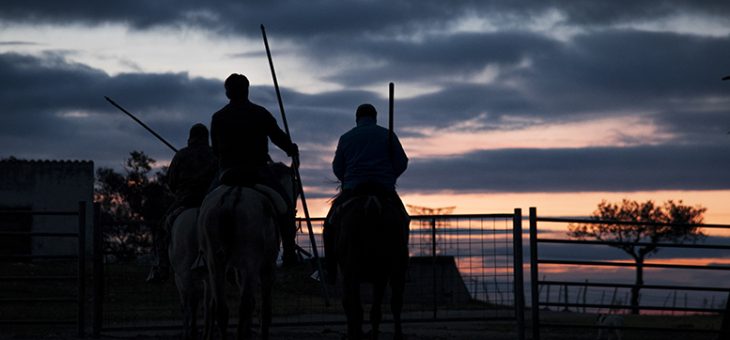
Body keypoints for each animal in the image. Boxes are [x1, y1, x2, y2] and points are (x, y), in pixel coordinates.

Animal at [332, 191, 406, 340]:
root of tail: (371, 203)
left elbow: (352, 306)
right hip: (392, 270)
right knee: (393, 303)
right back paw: (396, 335)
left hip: (355, 272)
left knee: (358, 308)